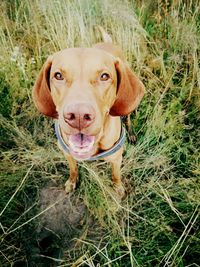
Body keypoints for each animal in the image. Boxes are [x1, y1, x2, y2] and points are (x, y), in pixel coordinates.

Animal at [33, 31, 145, 199]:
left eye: (104, 76)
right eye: (58, 75)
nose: (78, 116)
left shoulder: (116, 159)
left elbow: (116, 175)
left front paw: (118, 187)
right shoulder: (67, 153)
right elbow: (73, 169)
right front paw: (72, 182)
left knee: (128, 118)